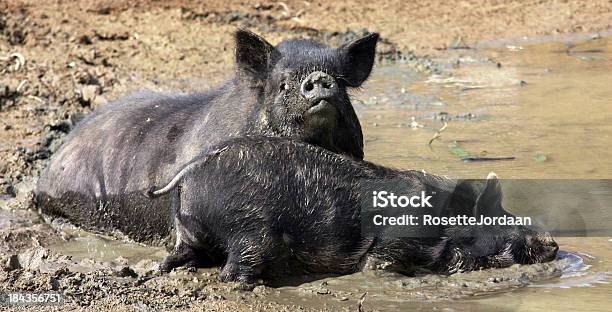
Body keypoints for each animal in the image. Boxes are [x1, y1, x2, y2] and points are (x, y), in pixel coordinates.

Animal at [149, 136, 560, 282]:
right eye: (506, 222)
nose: (553, 244)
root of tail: (191, 171)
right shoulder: (391, 248)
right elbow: (380, 265)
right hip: (250, 228)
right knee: (234, 268)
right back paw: (251, 284)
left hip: (189, 230)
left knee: (179, 256)